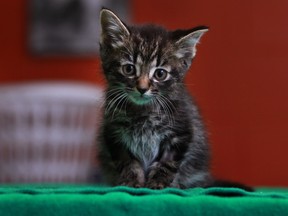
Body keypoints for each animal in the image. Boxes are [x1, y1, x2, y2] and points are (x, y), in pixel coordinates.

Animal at [97, 8, 245, 189]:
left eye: (160, 73)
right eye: (129, 69)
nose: (142, 88)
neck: (143, 111)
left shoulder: (182, 130)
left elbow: (167, 163)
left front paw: (157, 184)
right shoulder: (113, 133)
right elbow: (127, 162)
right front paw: (131, 182)